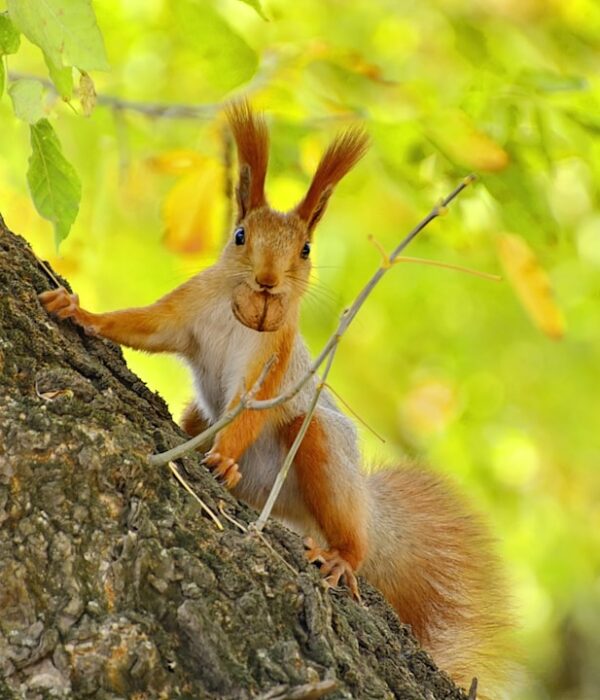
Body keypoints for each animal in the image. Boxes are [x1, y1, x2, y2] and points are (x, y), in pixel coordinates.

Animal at [40, 101, 510, 697]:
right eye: (240, 235)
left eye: (305, 249)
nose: (267, 281)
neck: (244, 311)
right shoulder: (185, 309)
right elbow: (143, 325)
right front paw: (78, 311)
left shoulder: (274, 360)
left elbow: (248, 407)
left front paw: (222, 458)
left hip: (321, 448)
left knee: (340, 508)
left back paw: (339, 555)